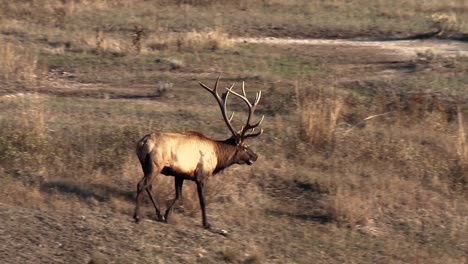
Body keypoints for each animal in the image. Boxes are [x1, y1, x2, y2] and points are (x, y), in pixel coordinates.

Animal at [134, 77, 264, 230]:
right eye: (245, 147)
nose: (256, 156)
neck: (218, 157)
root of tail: (142, 143)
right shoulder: (202, 175)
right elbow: (202, 200)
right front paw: (206, 223)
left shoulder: (180, 174)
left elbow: (178, 196)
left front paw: (166, 215)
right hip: (155, 165)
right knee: (142, 184)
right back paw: (137, 216)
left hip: (145, 166)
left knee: (148, 186)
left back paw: (158, 214)